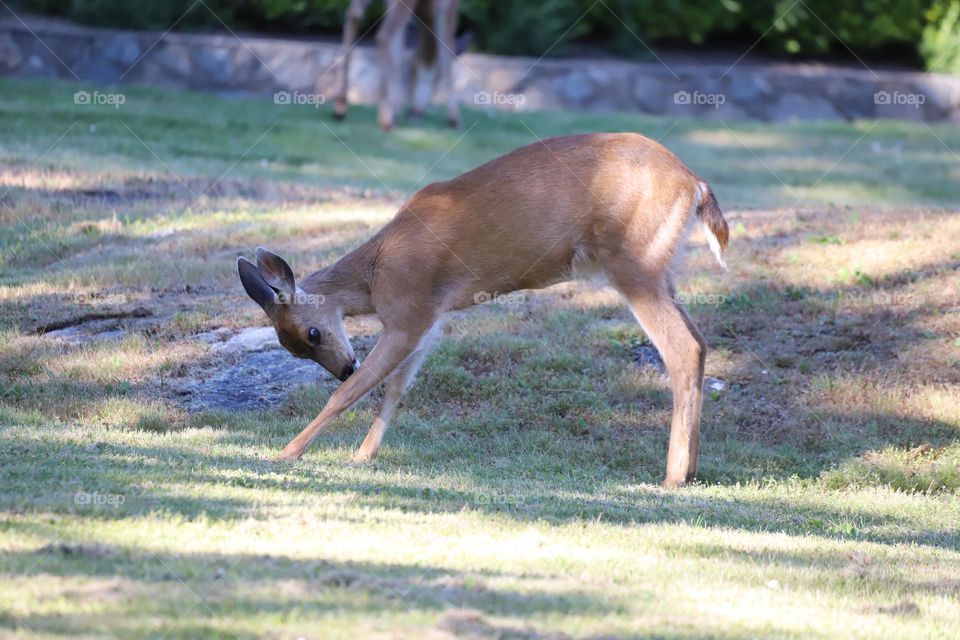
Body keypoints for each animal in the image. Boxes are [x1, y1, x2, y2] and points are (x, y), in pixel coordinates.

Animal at [238, 132, 728, 488]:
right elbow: (396, 389)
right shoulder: (430, 320)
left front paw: (287, 453)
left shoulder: (408, 312)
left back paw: (671, 478)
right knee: (700, 342)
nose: (342, 367)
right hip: (660, 268)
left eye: (312, 334)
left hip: (633, 262)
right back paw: (691, 470)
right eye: (293, 347)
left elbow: (354, 392)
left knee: (681, 348)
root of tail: (695, 184)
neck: (377, 273)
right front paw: (361, 457)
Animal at [330, 0, 462, 129]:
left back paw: (340, 108)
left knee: (354, 14)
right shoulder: (448, 6)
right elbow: (447, 50)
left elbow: (398, 51)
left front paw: (396, 111)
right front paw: (454, 119)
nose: (416, 113)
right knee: (384, 34)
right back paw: (386, 119)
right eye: (437, 79)